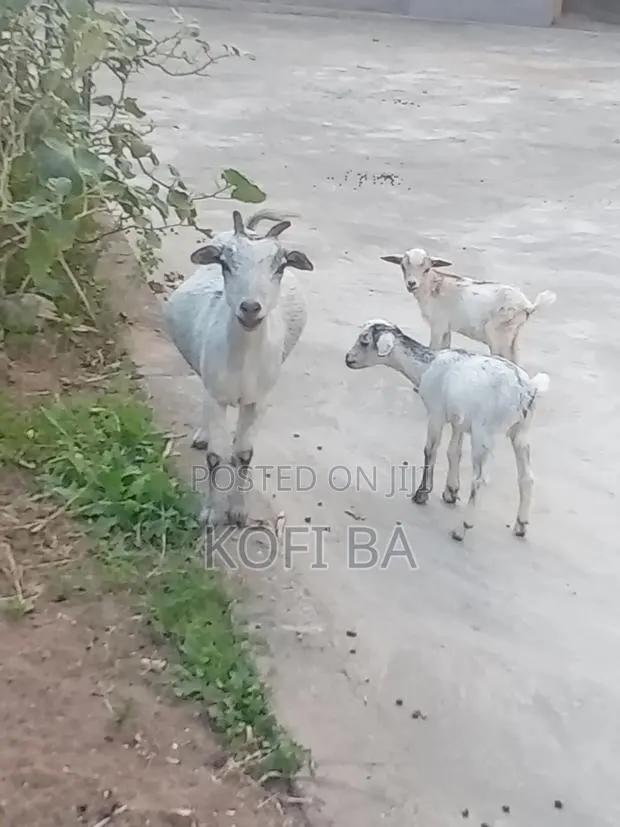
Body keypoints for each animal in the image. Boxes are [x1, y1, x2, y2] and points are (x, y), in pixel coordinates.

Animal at [163, 208, 314, 529]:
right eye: (224, 262)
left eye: (281, 266)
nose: (250, 308)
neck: (243, 362)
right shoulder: (216, 394)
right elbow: (215, 457)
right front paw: (209, 513)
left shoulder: (258, 400)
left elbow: (244, 455)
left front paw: (238, 512)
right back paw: (202, 434)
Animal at [345, 319, 550, 542]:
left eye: (364, 341)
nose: (348, 359)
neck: (426, 366)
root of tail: (526, 389)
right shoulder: (459, 420)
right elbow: (453, 453)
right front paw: (450, 491)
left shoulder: (436, 413)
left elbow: (430, 450)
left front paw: (422, 494)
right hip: (521, 432)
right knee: (527, 477)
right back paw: (520, 525)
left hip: (485, 434)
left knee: (480, 480)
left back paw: (462, 528)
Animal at [380, 248, 556, 364]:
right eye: (403, 266)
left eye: (427, 269)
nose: (411, 284)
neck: (434, 287)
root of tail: (528, 306)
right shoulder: (446, 327)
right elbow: (444, 347)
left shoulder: (438, 324)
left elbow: (434, 348)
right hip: (513, 334)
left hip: (497, 330)